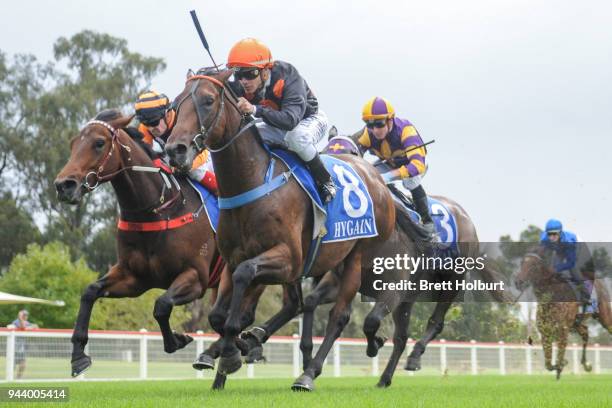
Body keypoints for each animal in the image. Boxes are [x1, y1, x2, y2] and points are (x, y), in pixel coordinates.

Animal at [55, 111, 225, 376]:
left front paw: (178, 339)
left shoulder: (196, 277)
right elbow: (90, 291)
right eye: (73, 143)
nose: (64, 185)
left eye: (99, 143)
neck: (159, 210)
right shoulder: (135, 278)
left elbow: (161, 304)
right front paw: (78, 356)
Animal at [165, 70, 396, 392]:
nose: (175, 149)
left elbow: (243, 283)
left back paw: (308, 373)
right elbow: (218, 315)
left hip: (357, 257)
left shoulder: (286, 259)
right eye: (176, 103)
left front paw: (232, 353)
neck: (252, 181)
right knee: (297, 304)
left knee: (338, 316)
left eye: (208, 100)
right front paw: (234, 352)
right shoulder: (233, 260)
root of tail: (376, 178)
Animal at [516, 249, 612, 380]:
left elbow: (559, 357)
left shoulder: (563, 331)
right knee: (585, 332)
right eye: (521, 263)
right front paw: (562, 365)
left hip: (605, 317)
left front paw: (561, 364)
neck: (551, 297)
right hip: (576, 323)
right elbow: (548, 364)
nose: (518, 282)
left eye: (533, 266)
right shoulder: (545, 332)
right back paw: (586, 364)